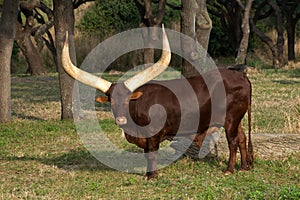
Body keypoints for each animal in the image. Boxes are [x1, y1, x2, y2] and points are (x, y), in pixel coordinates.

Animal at [61, 25, 253, 180]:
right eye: (111, 101)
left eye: (127, 100)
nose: (121, 120)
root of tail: (240, 75)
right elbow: (146, 154)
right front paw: (148, 173)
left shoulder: (153, 134)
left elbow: (152, 154)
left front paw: (152, 176)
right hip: (237, 119)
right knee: (242, 138)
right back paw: (244, 167)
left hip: (231, 119)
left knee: (233, 140)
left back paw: (229, 169)